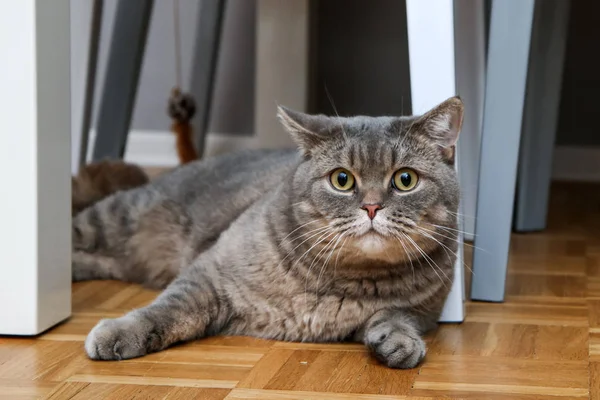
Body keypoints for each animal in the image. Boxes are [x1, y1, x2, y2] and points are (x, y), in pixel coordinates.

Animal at [71, 96, 464, 368]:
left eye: (405, 179)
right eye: (342, 179)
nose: (371, 207)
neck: (341, 282)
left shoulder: (424, 310)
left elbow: (397, 315)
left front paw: (399, 341)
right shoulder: (208, 273)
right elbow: (167, 309)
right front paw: (122, 332)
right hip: (113, 219)